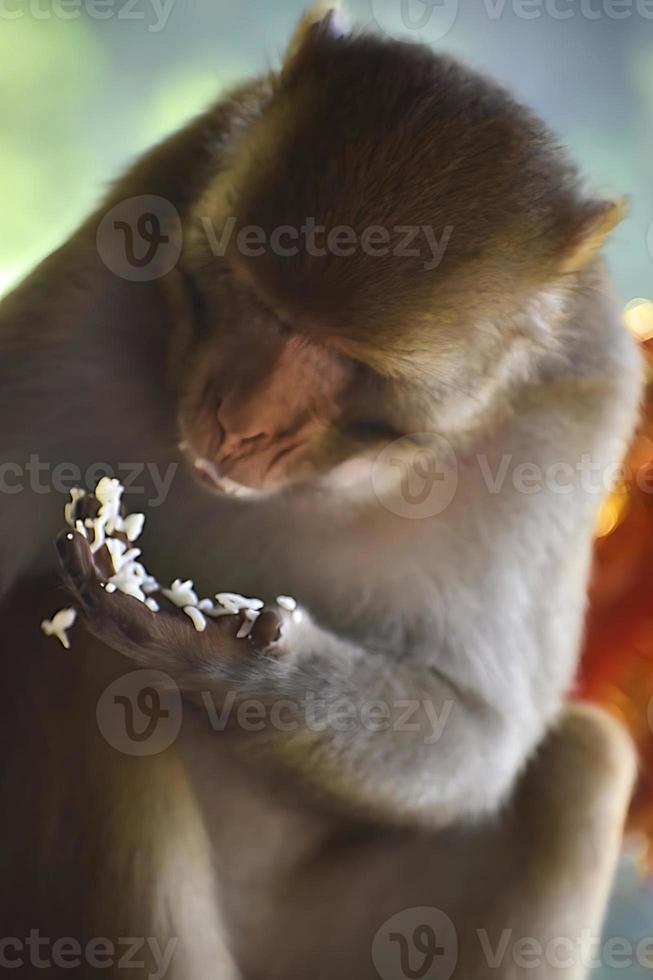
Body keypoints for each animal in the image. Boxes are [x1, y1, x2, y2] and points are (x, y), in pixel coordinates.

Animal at [0, 3, 640, 976]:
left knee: (582, 765)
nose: (237, 423)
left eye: (343, 359)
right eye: (253, 301)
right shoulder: (102, 277)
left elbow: (483, 740)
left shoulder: (575, 427)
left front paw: (239, 662)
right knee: (60, 653)